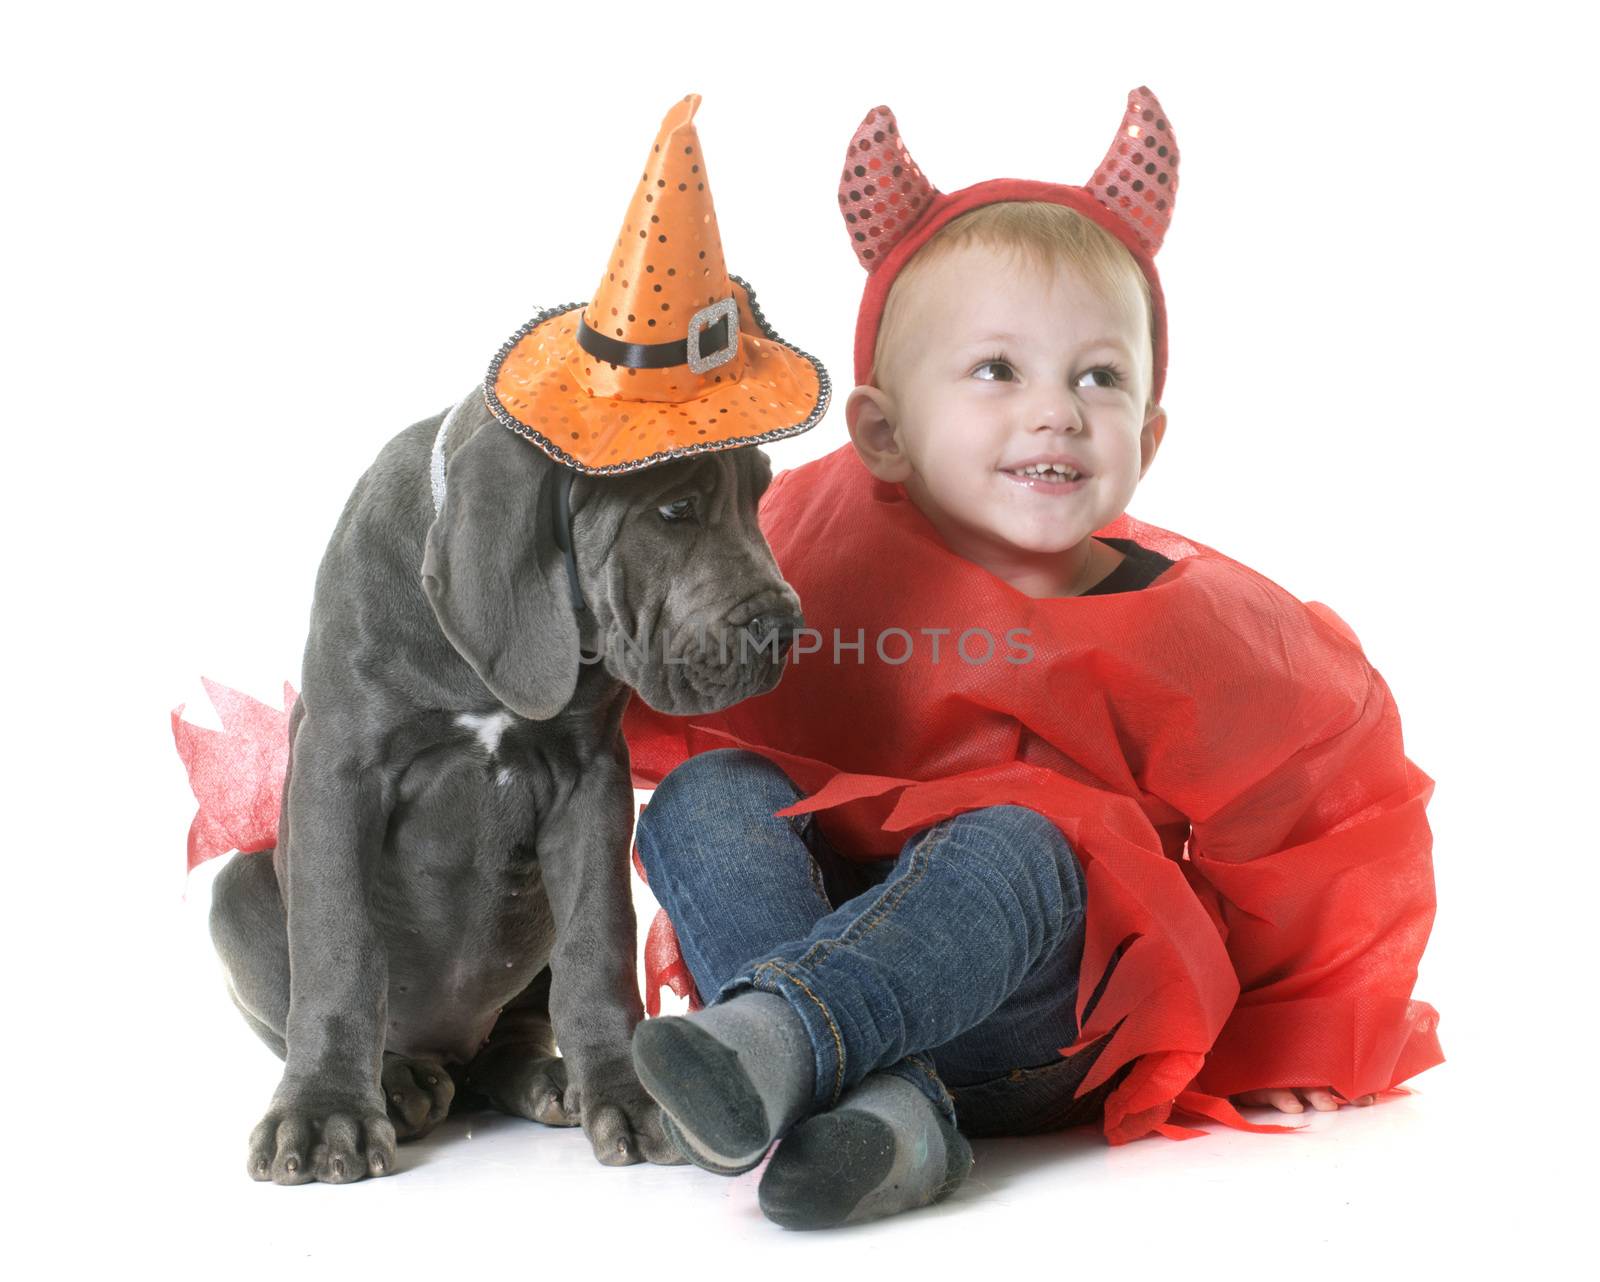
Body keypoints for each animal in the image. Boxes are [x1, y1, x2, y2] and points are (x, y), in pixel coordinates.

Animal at [211, 387, 806, 1177]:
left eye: (760, 496)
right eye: (676, 509)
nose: (787, 629)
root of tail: (451, 1059)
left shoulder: (591, 782)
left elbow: (599, 944)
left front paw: (626, 1090)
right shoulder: (337, 770)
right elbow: (339, 947)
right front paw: (324, 1111)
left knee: (513, 1033)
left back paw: (547, 1078)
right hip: (237, 889)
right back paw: (396, 1082)